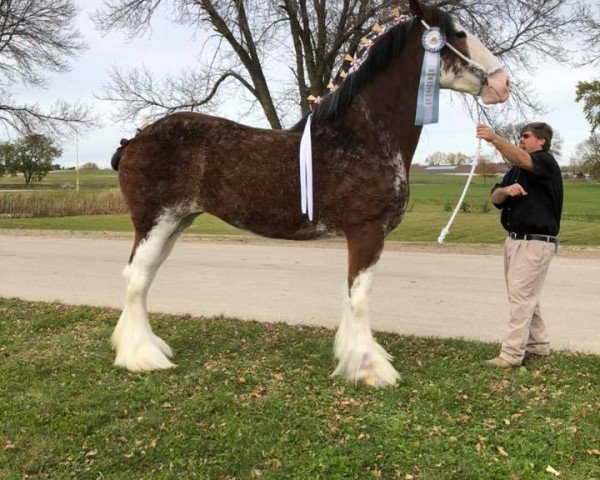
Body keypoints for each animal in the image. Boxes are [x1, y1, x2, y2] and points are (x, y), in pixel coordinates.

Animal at [110, 0, 508, 388]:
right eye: (459, 33)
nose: (503, 83)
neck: (362, 137)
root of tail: (134, 140)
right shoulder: (367, 230)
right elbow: (359, 296)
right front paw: (370, 369)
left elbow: (349, 295)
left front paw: (351, 358)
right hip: (156, 223)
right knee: (136, 280)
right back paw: (142, 357)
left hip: (176, 223)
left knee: (144, 279)